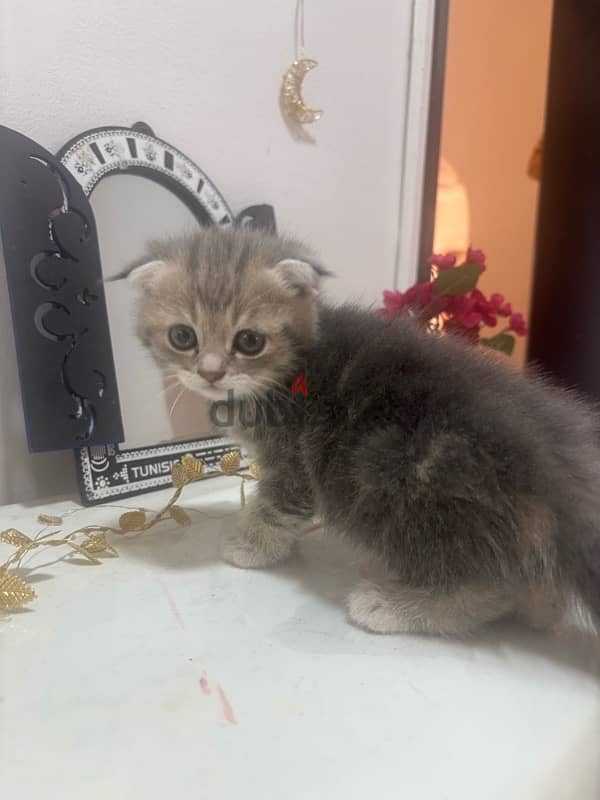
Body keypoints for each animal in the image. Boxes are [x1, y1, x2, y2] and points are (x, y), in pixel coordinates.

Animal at [125, 227, 600, 636]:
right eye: (182, 336)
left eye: (249, 341)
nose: (210, 373)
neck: (288, 369)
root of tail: (549, 467)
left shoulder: (294, 459)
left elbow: (279, 505)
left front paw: (251, 545)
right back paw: (543, 608)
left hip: (390, 480)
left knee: (489, 584)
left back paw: (396, 605)